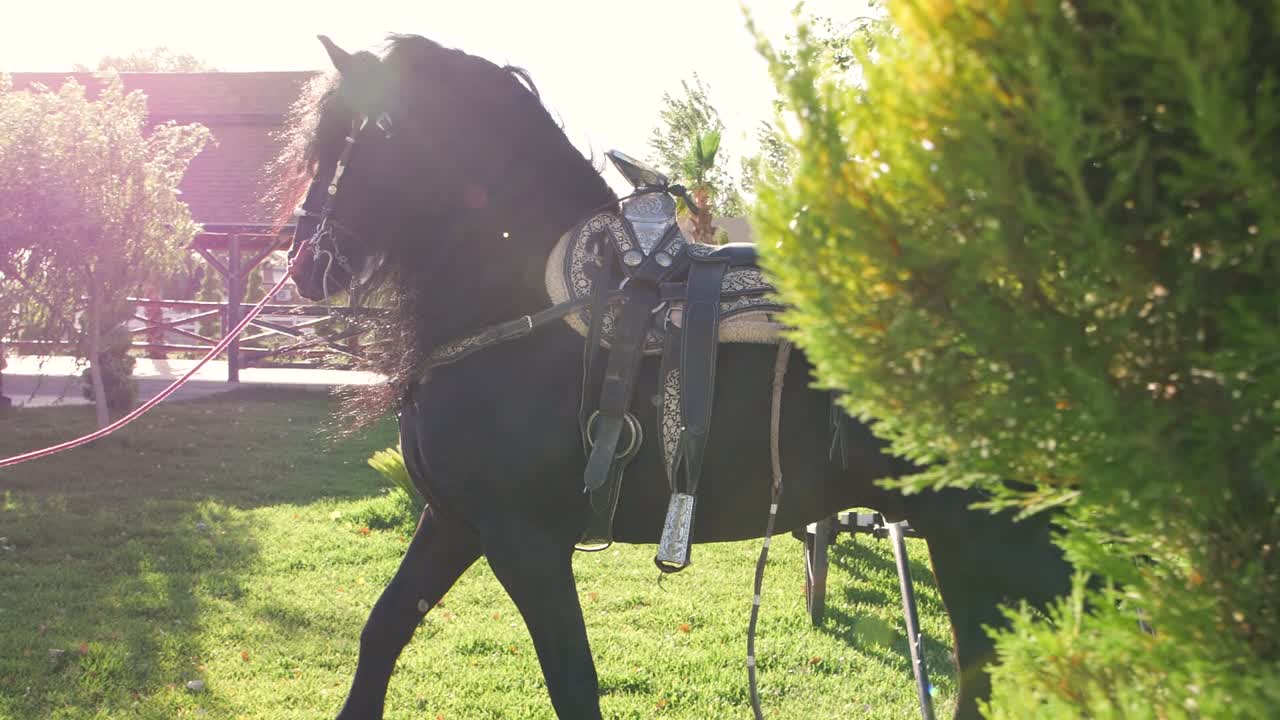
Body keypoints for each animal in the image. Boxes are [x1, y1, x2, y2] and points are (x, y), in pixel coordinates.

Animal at [275, 34, 1071, 720]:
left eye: (351, 136)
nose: (304, 263)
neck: (526, 303)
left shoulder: (524, 542)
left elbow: (573, 683)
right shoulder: (455, 520)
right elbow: (382, 629)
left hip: (993, 542)